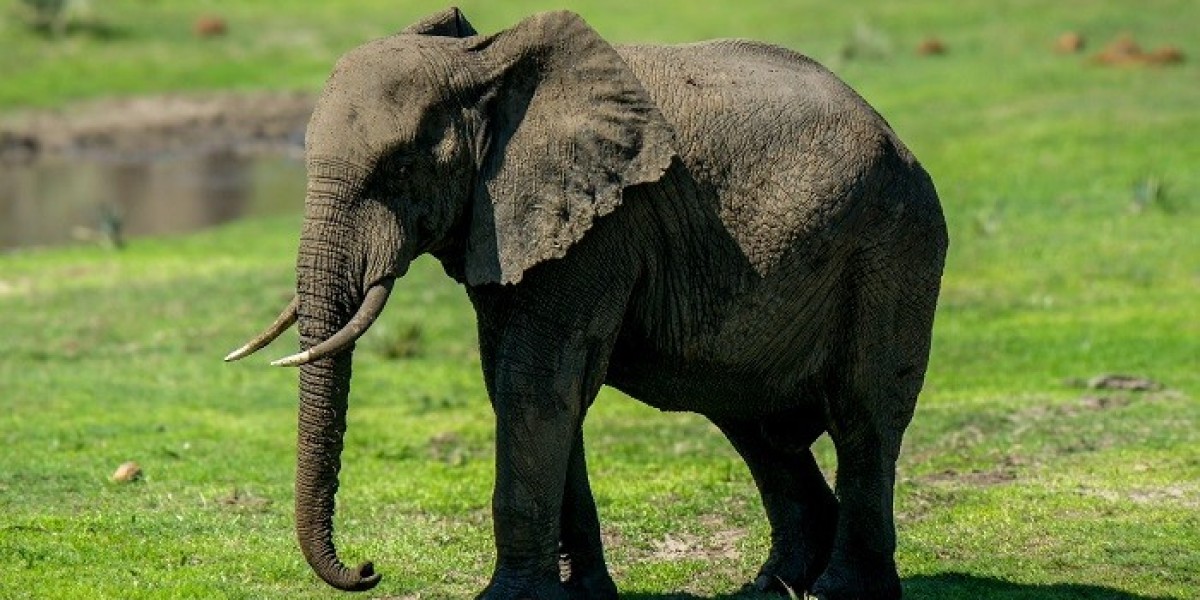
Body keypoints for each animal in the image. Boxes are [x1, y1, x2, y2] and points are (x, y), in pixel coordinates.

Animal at [225, 8, 947, 600]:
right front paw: (579, 594)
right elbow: (520, 385)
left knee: (863, 418)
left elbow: (535, 381)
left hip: (892, 247)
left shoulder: (606, 226)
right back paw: (773, 587)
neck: (486, 69)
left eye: (400, 169)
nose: (369, 569)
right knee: (754, 425)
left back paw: (840, 592)